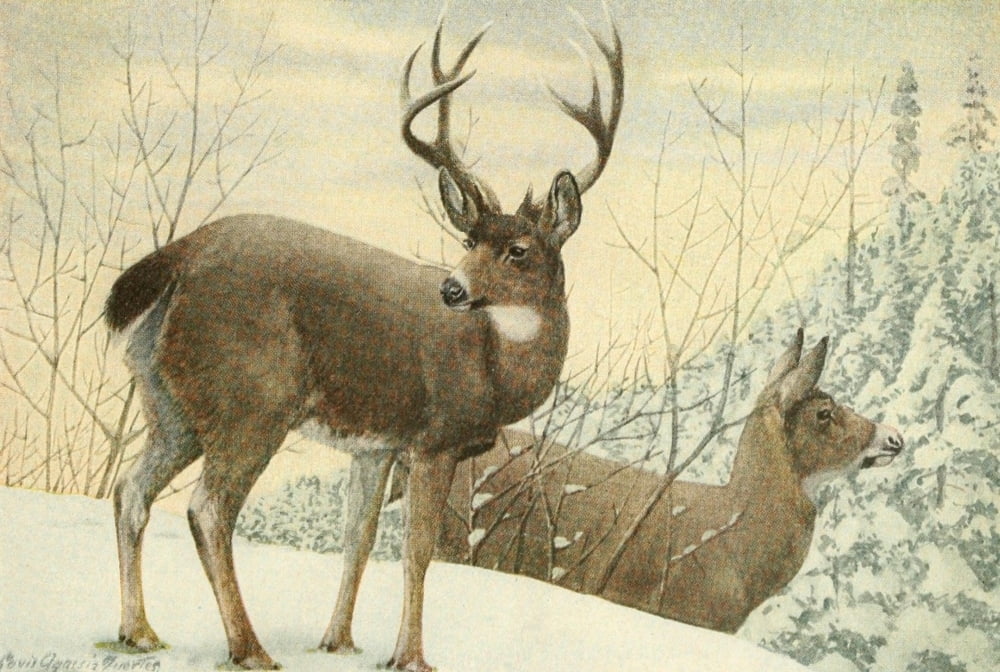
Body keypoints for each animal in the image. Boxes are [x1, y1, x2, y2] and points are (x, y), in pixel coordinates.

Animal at [103, 8, 623, 672]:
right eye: (468, 239)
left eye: (517, 249)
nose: (452, 289)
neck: (495, 368)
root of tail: (181, 255)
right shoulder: (435, 438)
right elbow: (417, 551)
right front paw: (410, 656)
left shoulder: (375, 446)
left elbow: (359, 539)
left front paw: (339, 641)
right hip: (253, 399)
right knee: (208, 509)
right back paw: (249, 648)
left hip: (168, 402)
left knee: (130, 490)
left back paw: (139, 631)